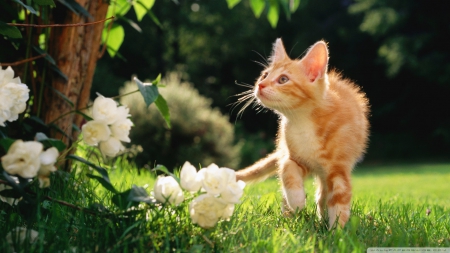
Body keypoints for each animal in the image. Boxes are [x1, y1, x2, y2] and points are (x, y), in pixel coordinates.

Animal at [236, 38, 370, 228]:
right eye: (264, 75)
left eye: (283, 79)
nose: (260, 85)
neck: (303, 121)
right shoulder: (295, 157)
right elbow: (287, 168)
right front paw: (297, 201)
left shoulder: (338, 168)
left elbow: (339, 198)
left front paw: (337, 230)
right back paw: (289, 217)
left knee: (323, 193)